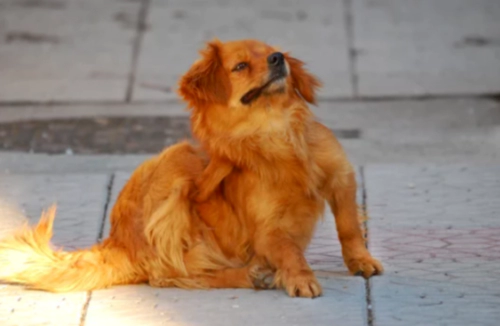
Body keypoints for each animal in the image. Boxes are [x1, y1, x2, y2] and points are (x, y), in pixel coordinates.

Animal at [0, 38, 382, 298]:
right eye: (241, 66)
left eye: (274, 52)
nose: (279, 59)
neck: (276, 131)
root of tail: (117, 242)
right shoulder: (267, 231)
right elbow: (290, 250)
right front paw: (301, 277)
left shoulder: (341, 179)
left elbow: (349, 226)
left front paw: (360, 260)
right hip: (176, 161)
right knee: (172, 274)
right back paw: (247, 275)